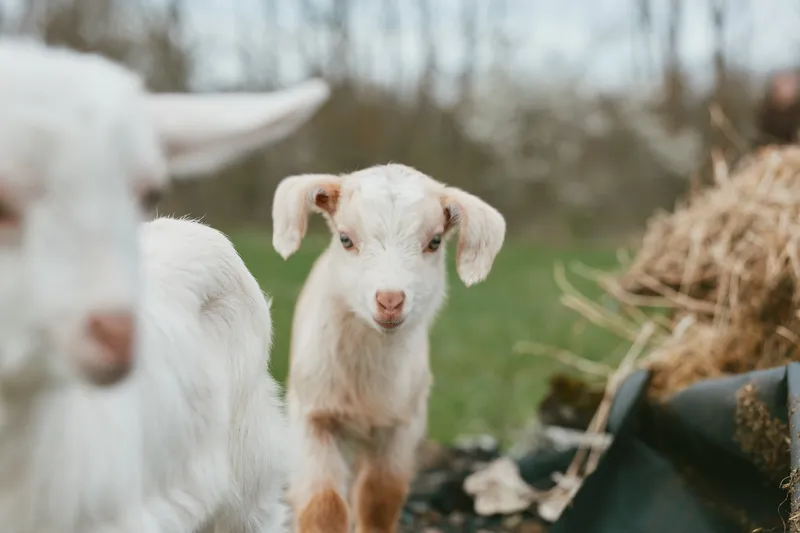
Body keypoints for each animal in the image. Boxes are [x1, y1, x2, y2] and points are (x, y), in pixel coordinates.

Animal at [271, 164, 506, 533]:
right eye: (345, 239)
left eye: (435, 241)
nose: (390, 301)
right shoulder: (313, 416)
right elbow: (324, 505)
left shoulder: (401, 426)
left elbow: (379, 497)